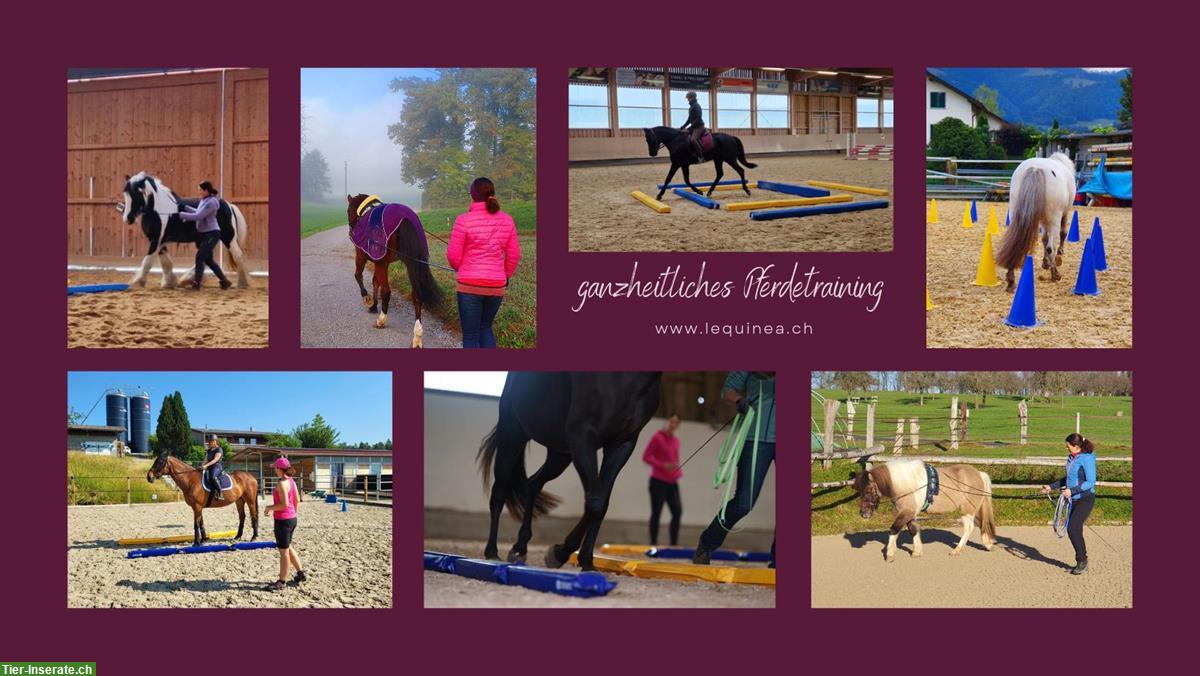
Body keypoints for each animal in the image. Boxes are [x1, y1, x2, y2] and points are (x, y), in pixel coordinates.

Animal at [120, 171, 250, 288]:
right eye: (125, 193)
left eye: (137, 193)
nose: (127, 218)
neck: (158, 210)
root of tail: (229, 205)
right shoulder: (160, 240)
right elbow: (166, 262)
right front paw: (169, 282)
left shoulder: (156, 240)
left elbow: (147, 261)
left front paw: (138, 282)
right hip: (203, 240)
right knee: (206, 259)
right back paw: (189, 279)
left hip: (228, 237)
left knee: (237, 255)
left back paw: (242, 283)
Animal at [345, 193, 444, 345]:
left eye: (348, 210)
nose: (351, 231)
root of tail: (404, 219)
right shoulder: (380, 261)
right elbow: (375, 281)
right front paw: (374, 305)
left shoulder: (364, 257)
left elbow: (358, 275)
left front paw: (368, 299)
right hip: (413, 263)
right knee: (417, 296)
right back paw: (417, 335)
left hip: (382, 263)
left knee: (387, 291)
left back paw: (381, 320)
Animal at [859, 461, 998, 566]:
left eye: (869, 489)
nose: (863, 513)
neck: (905, 484)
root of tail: (979, 474)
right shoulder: (910, 513)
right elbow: (913, 529)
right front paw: (917, 552)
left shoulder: (906, 512)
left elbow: (894, 529)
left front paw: (890, 554)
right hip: (975, 510)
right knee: (982, 524)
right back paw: (988, 545)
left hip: (967, 511)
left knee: (969, 528)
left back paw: (956, 550)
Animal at [993, 154, 1080, 291]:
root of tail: (1035, 168)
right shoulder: (1064, 214)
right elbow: (1062, 233)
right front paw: (1059, 254)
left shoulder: (1043, 220)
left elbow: (1044, 238)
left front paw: (1045, 263)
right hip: (1054, 219)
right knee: (1051, 247)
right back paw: (1055, 274)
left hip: (1015, 214)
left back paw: (1011, 280)